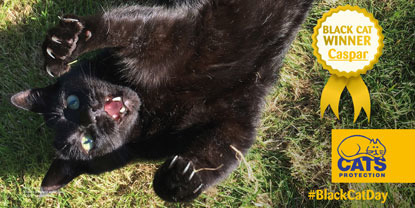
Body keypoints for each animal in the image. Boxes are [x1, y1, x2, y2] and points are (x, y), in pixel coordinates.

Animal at [9, 0, 314, 202]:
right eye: (87, 142)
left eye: (72, 102)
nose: (94, 115)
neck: (152, 103)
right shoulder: (236, 116)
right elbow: (220, 155)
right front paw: (179, 179)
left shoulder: (164, 33)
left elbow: (116, 25)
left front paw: (62, 44)